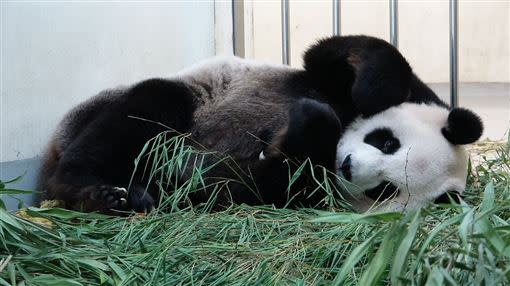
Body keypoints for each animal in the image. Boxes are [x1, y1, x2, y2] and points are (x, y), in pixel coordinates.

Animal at [36, 35, 482, 213]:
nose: (349, 167)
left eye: (384, 189)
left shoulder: (304, 193)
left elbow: (251, 184)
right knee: (143, 112)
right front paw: (373, 94)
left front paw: (306, 125)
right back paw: (95, 191)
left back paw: (132, 195)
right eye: (387, 142)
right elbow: (343, 52)